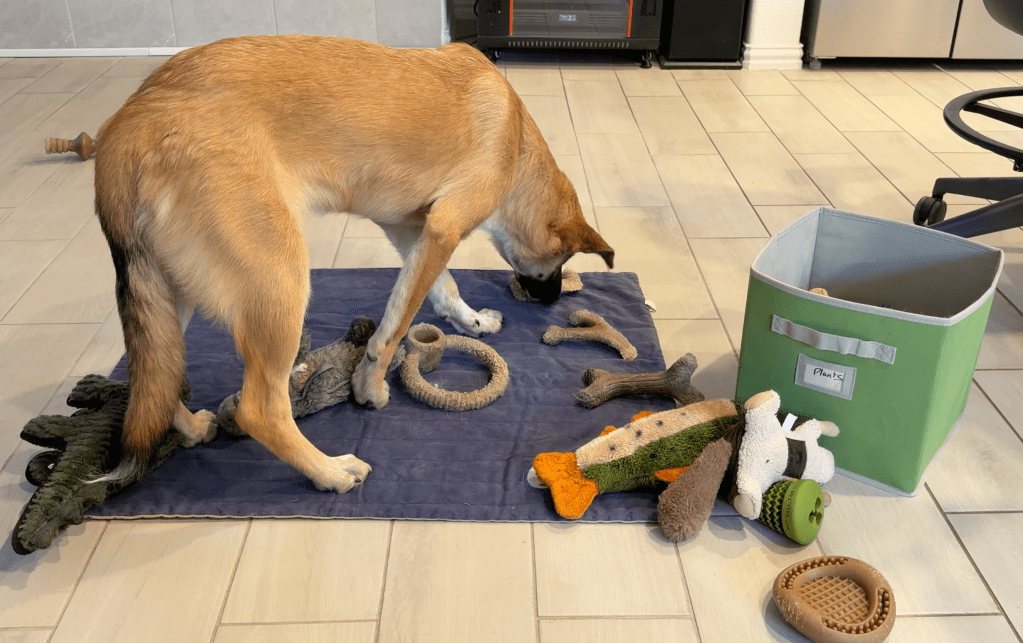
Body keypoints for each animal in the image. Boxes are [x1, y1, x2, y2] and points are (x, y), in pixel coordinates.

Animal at [92, 35, 615, 492]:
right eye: (561, 262)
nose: (550, 300)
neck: (517, 137)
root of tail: (128, 123)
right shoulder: (443, 229)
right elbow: (395, 327)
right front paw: (370, 386)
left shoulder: (414, 230)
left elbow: (441, 290)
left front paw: (472, 322)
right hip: (280, 279)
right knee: (259, 408)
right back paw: (328, 471)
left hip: (167, 294)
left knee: (156, 380)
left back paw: (191, 428)